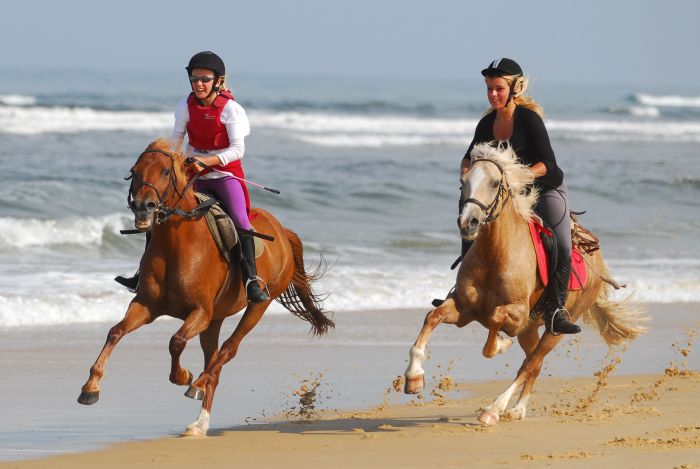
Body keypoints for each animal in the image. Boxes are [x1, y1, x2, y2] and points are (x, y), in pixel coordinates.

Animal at [79, 139, 334, 436]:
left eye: (165, 171)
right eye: (134, 171)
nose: (143, 207)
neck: (176, 244)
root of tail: (282, 231)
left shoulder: (199, 311)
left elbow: (176, 341)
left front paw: (183, 376)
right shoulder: (146, 306)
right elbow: (115, 332)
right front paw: (90, 387)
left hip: (256, 306)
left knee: (227, 351)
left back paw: (198, 385)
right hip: (215, 319)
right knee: (214, 361)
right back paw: (200, 421)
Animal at [404, 142, 644, 424]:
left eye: (495, 183)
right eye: (463, 181)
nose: (468, 223)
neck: (495, 253)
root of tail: (597, 261)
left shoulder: (518, 314)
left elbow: (495, 321)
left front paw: (500, 345)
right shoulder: (463, 310)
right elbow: (432, 317)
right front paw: (413, 378)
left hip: (556, 327)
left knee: (531, 363)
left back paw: (495, 409)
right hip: (530, 330)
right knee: (533, 364)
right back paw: (517, 408)